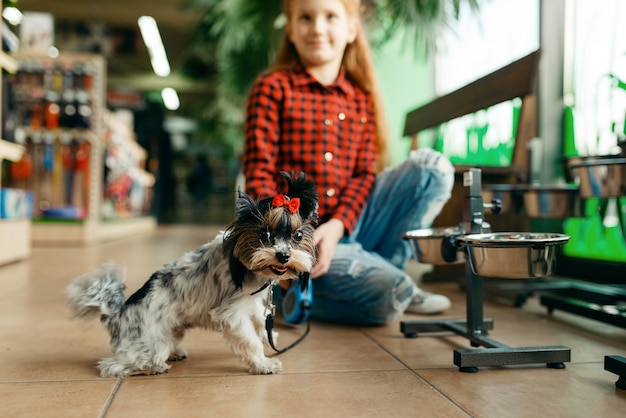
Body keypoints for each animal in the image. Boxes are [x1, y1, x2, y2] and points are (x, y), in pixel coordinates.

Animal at [65, 171, 316, 378]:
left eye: (298, 235)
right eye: (265, 235)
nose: (283, 256)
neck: (244, 265)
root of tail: (115, 316)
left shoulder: (251, 303)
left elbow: (259, 321)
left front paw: (269, 336)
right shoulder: (231, 313)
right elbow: (250, 339)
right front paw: (264, 363)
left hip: (174, 331)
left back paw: (175, 354)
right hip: (152, 346)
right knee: (113, 366)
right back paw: (154, 367)